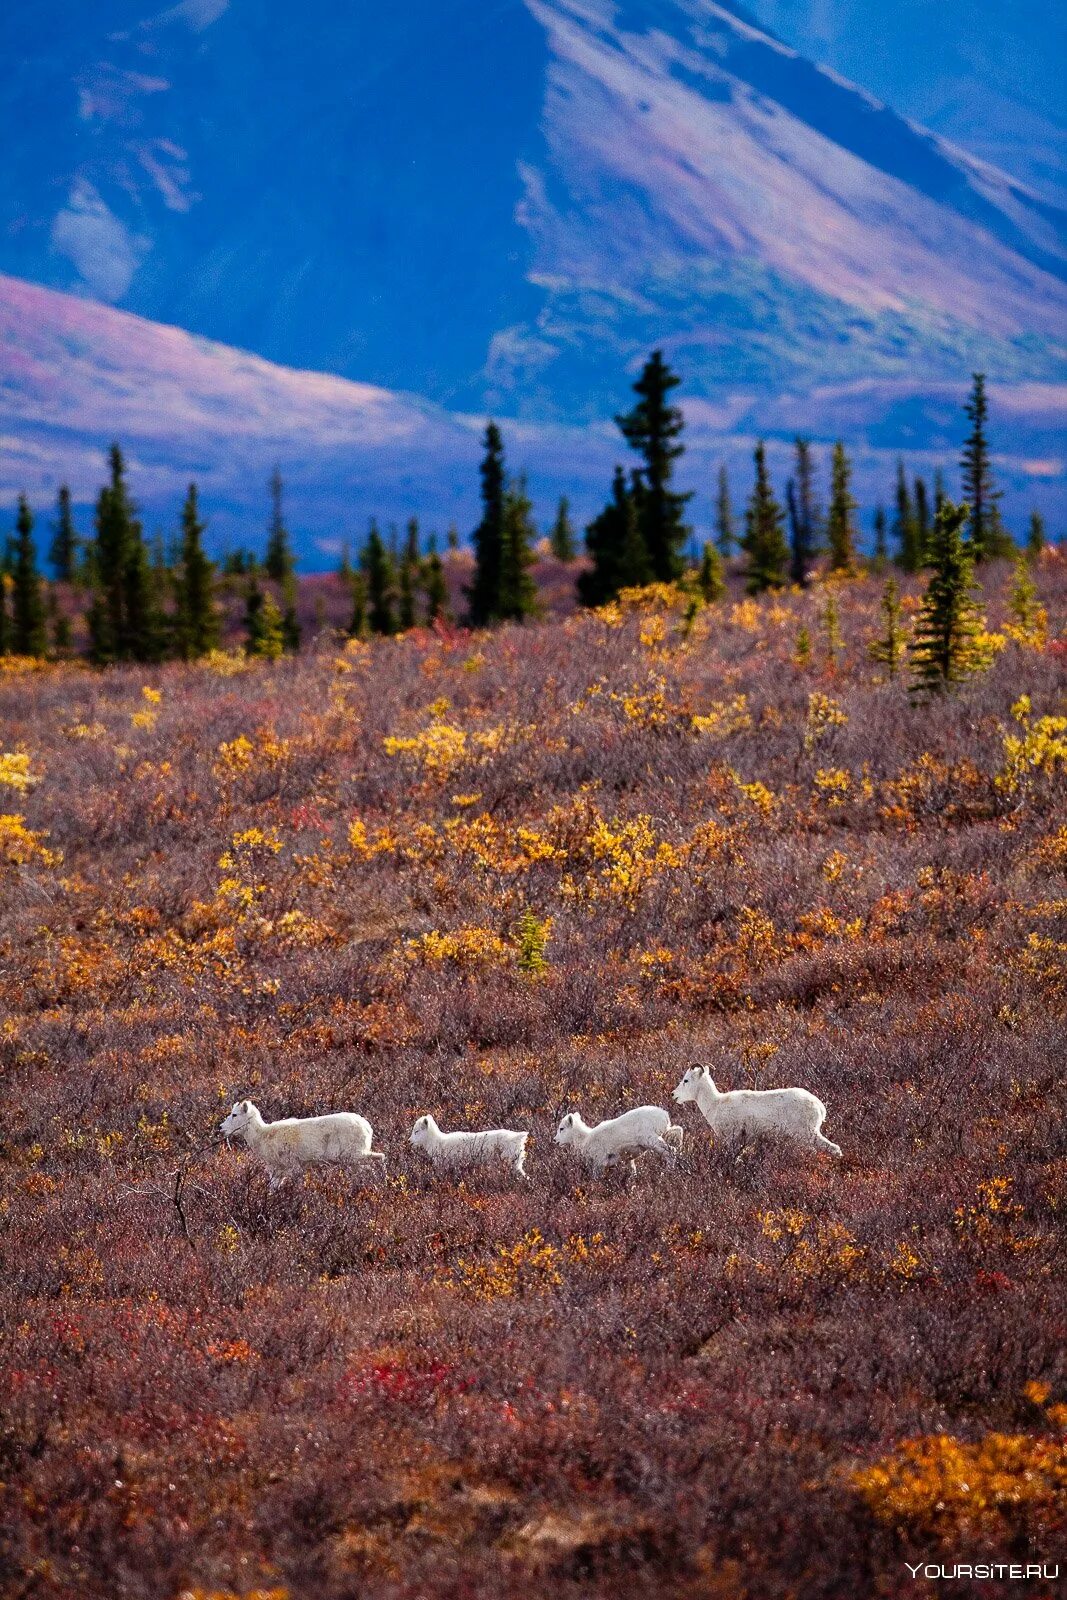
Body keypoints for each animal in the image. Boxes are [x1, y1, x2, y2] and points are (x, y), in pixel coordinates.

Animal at [219, 1100, 385, 1190]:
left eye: (234, 1114)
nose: (221, 1128)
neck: (262, 1135)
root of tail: (367, 1127)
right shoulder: (278, 1171)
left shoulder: (292, 1166)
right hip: (354, 1161)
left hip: (354, 1156)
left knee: (379, 1158)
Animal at [550, 1100, 684, 1177]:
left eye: (561, 1128)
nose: (555, 1140)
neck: (585, 1138)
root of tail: (664, 1116)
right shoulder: (627, 1159)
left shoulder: (599, 1162)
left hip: (651, 1140)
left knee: (670, 1151)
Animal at [675, 1068, 844, 1158]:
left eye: (686, 1080)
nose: (673, 1094)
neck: (716, 1103)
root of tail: (819, 1106)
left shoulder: (731, 1137)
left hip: (805, 1135)